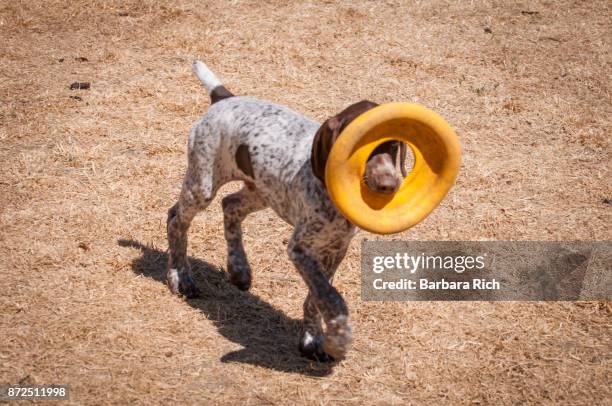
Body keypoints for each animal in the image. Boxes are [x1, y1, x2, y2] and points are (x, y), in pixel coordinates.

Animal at [167, 61, 406, 362]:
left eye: (393, 145)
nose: (389, 185)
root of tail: (224, 98)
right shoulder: (300, 249)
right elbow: (330, 296)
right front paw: (339, 335)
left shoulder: (337, 248)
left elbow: (317, 296)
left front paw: (312, 339)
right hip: (203, 185)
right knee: (176, 219)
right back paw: (180, 278)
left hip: (262, 192)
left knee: (229, 205)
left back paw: (239, 269)